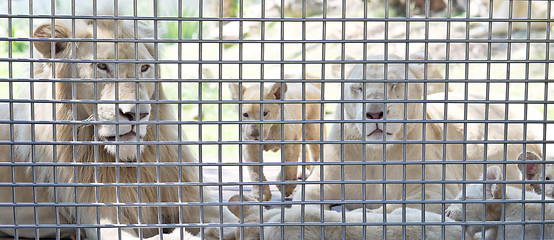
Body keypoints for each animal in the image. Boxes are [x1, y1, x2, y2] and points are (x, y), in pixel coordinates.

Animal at [0, 18, 235, 240]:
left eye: (143, 68)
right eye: (102, 66)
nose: (136, 114)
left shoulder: (187, 194)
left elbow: (232, 220)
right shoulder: (103, 217)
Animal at [294, 55, 544, 214]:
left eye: (394, 85)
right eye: (359, 87)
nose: (374, 113)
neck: (376, 156)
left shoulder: (437, 190)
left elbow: (394, 208)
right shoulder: (315, 187)